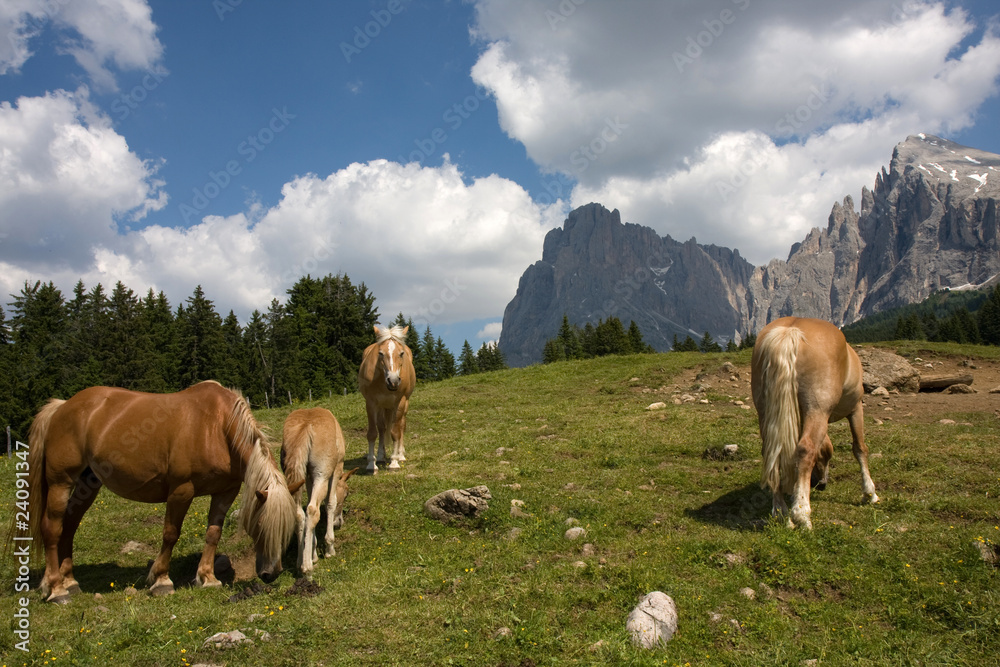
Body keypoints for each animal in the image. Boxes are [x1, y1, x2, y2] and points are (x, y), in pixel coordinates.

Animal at [25, 381, 302, 603]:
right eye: (260, 525)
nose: (271, 574)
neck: (215, 426)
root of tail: (62, 406)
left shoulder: (226, 491)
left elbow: (213, 533)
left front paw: (207, 578)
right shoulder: (181, 490)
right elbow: (170, 534)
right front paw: (161, 581)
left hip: (88, 483)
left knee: (70, 525)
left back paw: (70, 581)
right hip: (61, 482)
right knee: (52, 528)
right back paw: (56, 589)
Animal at [280, 407, 358, 576]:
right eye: (346, 494)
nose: (339, 523)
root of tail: (305, 426)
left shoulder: (309, 478)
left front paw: (313, 553)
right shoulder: (335, 469)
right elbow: (330, 503)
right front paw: (329, 548)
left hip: (296, 477)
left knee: (299, 513)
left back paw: (300, 561)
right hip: (322, 475)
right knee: (312, 510)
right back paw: (307, 568)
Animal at [358, 325, 416, 474]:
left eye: (401, 353)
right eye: (380, 353)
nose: (393, 381)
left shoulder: (399, 402)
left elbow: (395, 432)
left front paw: (394, 463)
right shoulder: (371, 403)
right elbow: (373, 433)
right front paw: (372, 465)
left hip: (404, 405)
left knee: (401, 426)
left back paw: (400, 455)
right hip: (382, 407)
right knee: (382, 428)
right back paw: (380, 457)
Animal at [751, 316, 879, 529]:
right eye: (825, 456)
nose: (821, 484)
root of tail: (791, 330)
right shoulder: (855, 410)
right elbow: (860, 448)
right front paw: (870, 493)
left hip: (766, 412)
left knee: (772, 453)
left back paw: (781, 513)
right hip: (817, 410)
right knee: (805, 450)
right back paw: (802, 515)